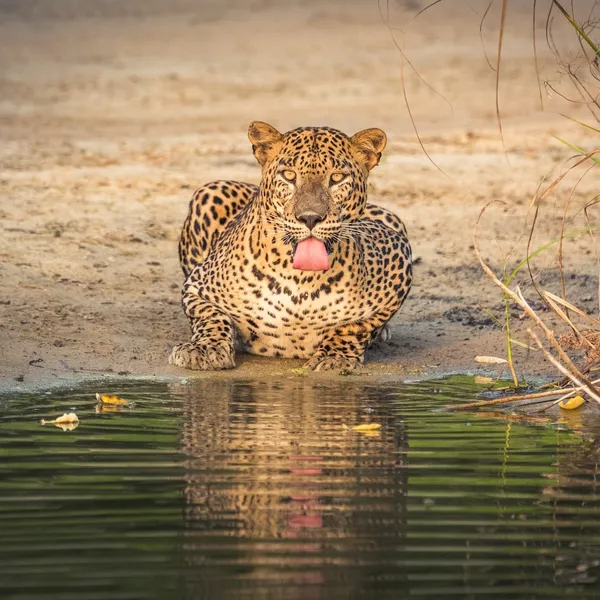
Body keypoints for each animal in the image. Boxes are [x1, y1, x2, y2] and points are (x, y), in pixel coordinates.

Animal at [169, 121, 412, 370]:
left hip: (392, 218)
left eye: (336, 178)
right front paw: (204, 349)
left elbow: (355, 326)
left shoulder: (398, 256)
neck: (300, 281)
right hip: (210, 191)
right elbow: (211, 316)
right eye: (288, 175)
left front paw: (334, 357)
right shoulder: (197, 286)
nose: (310, 218)